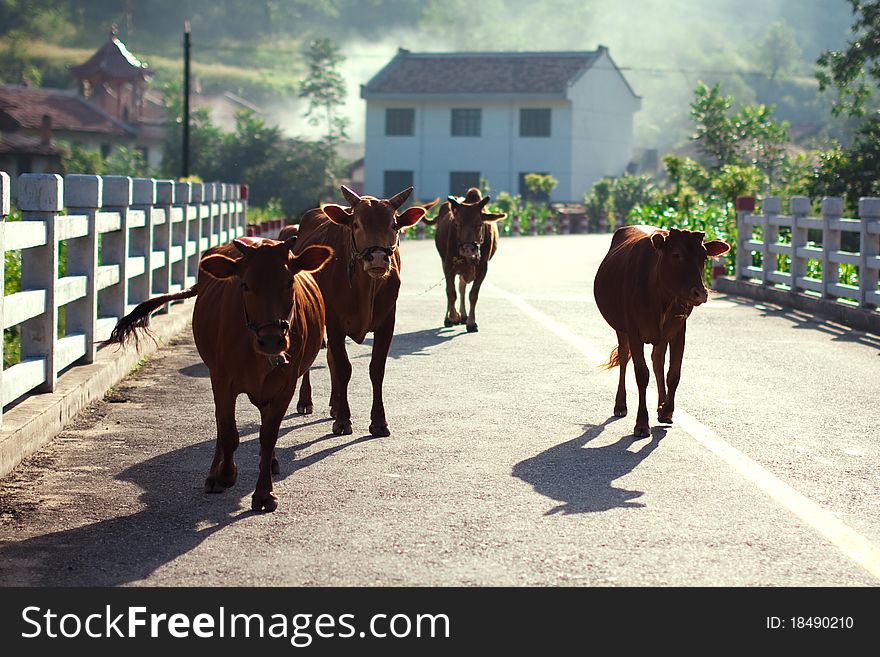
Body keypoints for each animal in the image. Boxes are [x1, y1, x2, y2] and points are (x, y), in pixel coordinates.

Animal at [105, 236, 334, 512]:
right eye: (245, 285)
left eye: (290, 282)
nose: (271, 341)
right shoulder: (222, 380)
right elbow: (228, 432)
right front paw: (225, 474)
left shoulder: (285, 385)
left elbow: (268, 436)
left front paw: (265, 493)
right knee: (220, 426)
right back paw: (215, 475)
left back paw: (270, 462)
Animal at [294, 184, 434, 436]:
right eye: (356, 224)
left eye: (394, 225)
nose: (377, 258)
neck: (364, 289)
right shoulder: (335, 324)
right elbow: (343, 368)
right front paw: (343, 420)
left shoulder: (387, 323)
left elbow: (376, 369)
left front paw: (378, 421)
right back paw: (306, 401)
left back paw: (334, 404)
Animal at [426, 188, 508, 334]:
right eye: (457, 224)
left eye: (479, 224)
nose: (468, 249)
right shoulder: (448, 265)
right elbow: (451, 293)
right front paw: (453, 317)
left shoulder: (483, 268)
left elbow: (473, 294)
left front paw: (471, 322)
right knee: (452, 290)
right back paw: (449, 319)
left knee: (462, 288)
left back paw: (464, 316)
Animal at [596, 224, 732, 436]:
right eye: (676, 255)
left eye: (704, 257)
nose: (700, 293)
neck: (661, 296)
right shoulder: (633, 330)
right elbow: (641, 374)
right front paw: (641, 423)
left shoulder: (679, 329)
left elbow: (674, 373)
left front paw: (667, 410)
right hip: (621, 329)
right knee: (625, 357)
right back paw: (620, 405)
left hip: (662, 335)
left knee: (657, 360)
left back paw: (661, 404)